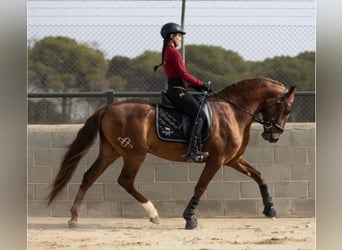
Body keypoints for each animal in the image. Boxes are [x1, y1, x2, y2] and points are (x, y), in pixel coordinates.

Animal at [46, 76, 296, 229]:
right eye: (286, 108)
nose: (274, 136)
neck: (233, 111)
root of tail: (108, 107)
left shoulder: (232, 159)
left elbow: (259, 175)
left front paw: (270, 208)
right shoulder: (216, 160)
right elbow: (200, 187)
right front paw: (189, 219)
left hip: (111, 152)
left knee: (89, 176)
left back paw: (74, 218)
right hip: (134, 154)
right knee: (125, 181)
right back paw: (153, 214)